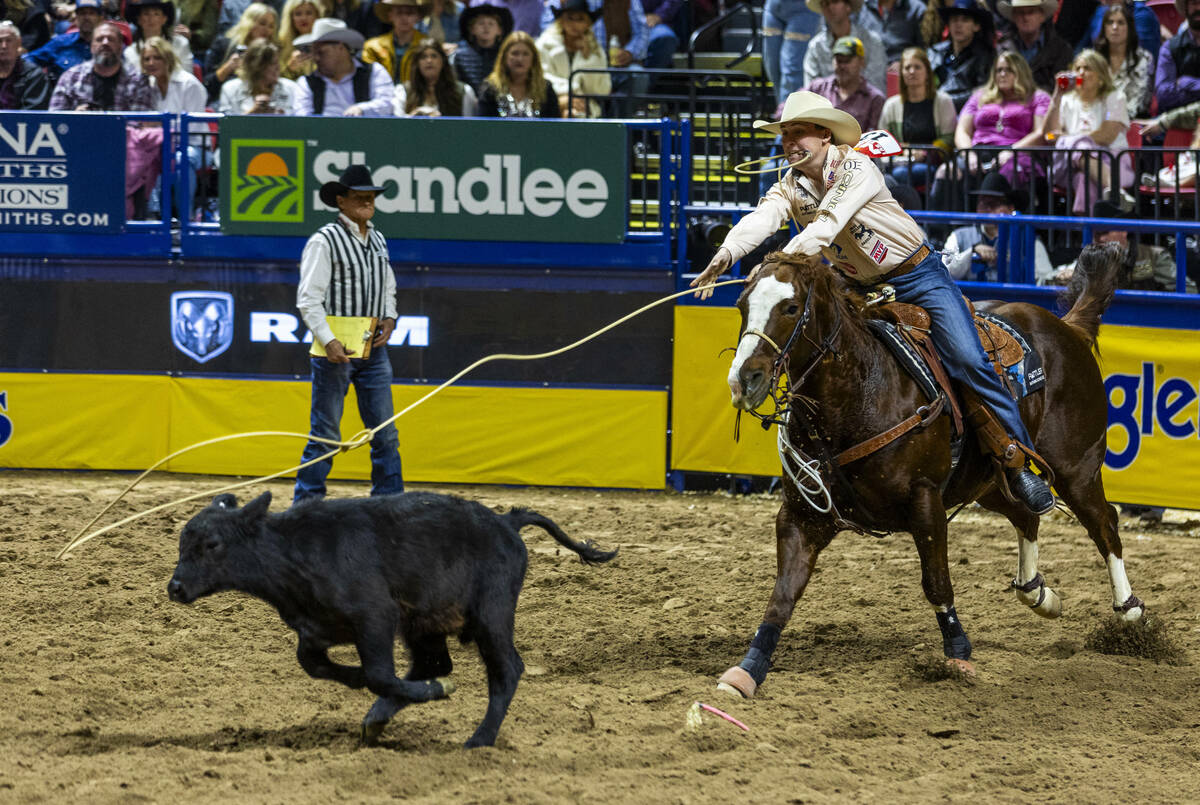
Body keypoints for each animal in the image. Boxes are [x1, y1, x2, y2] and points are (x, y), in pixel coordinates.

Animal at [715, 241, 1147, 700]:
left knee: (1104, 524)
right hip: (987, 483)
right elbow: (782, 595)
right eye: (742, 305)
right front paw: (747, 671)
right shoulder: (801, 514)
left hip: (1076, 467)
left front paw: (958, 654)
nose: (744, 379)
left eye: (791, 307)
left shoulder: (925, 502)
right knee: (1025, 513)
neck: (861, 391)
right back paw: (1037, 593)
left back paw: (1129, 612)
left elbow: (936, 582)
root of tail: (1067, 328)